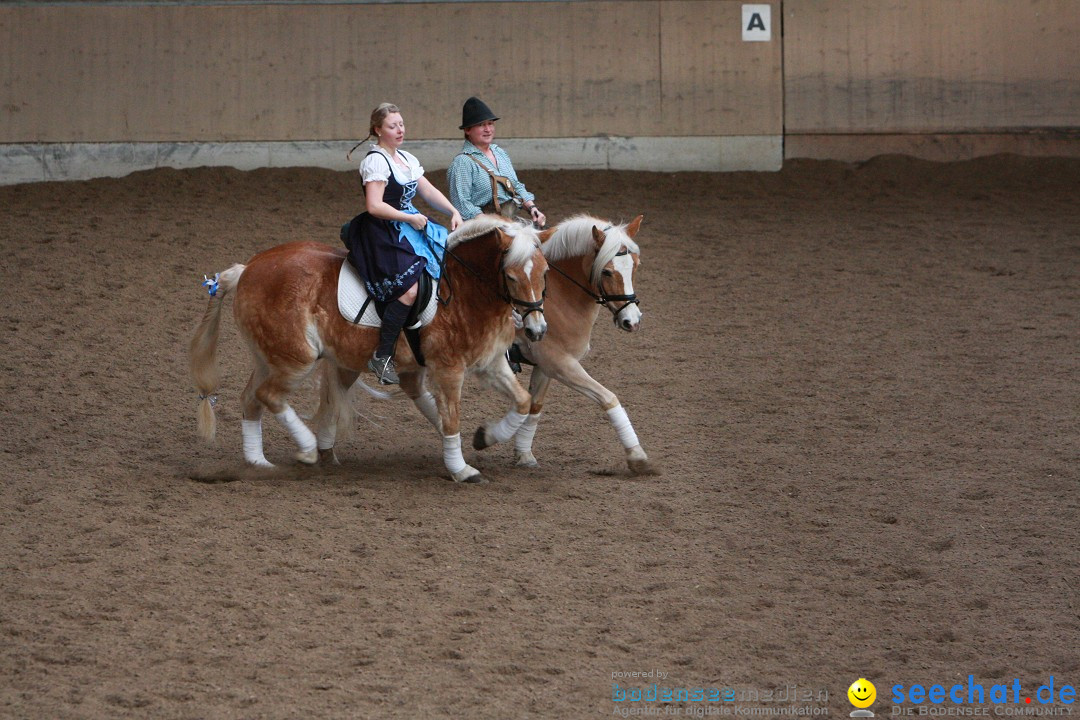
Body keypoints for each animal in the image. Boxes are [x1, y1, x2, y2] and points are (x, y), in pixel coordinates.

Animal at [190, 215, 548, 483]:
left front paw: (485, 438)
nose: (537, 330)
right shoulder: (449, 369)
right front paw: (462, 469)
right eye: (511, 277)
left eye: (544, 272)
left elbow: (522, 401)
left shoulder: (489, 363)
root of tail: (247, 270)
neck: (464, 290)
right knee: (268, 395)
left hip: (273, 357)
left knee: (251, 398)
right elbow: (451, 419)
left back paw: (259, 463)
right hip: (296, 359)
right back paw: (307, 449)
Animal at [468, 211, 652, 474]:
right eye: (607, 272)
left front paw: (523, 455)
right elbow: (608, 397)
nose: (632, 321)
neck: (559, 297)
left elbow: (534, 407)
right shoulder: (559, 362)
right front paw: (637, 456)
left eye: (635, 266)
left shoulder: (545, 366)